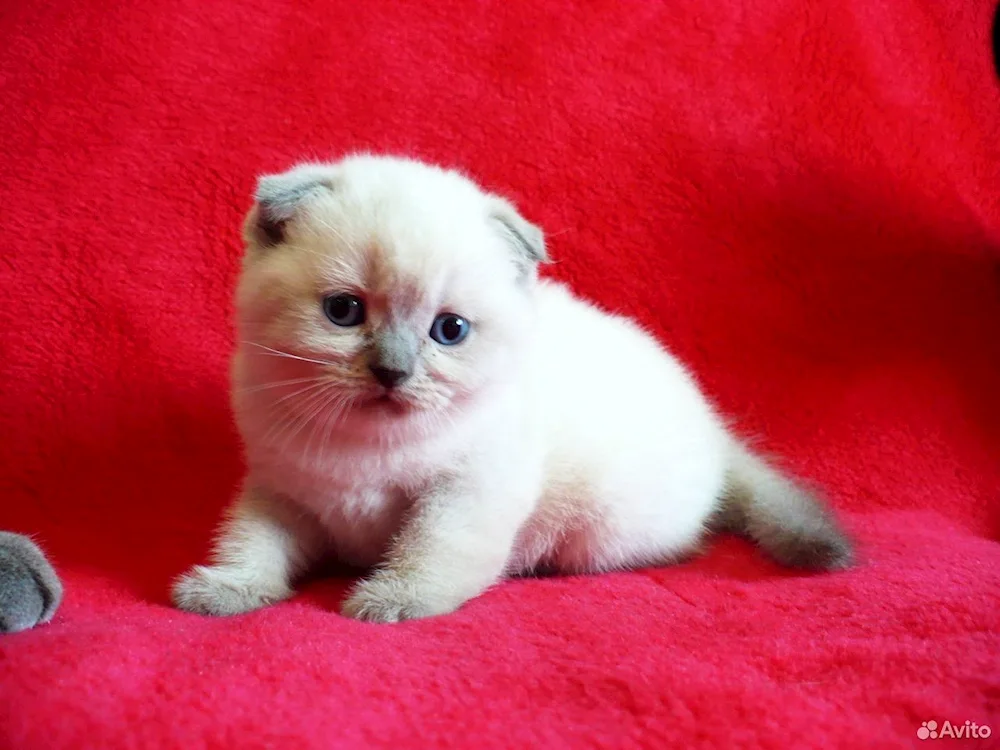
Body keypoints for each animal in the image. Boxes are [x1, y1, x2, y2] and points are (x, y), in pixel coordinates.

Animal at [172, 154, 852, 624]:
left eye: (449, 330)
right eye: (344, 312)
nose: (392, 372)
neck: (364, 447)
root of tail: (715, 429)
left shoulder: (465, 493)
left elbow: (429, 552)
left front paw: (392, 600)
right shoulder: (282, 491)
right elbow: (252, 543)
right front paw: (223, 590)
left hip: (606, 534)